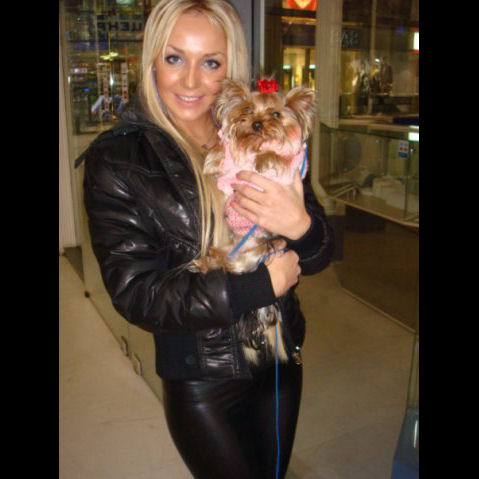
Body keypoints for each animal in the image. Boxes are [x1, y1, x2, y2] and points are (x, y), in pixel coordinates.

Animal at [190, 78, 316, 365]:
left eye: (276, 114)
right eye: (247, 110)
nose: (257, 124)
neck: (256, 144)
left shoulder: (291, 168)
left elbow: (277, 157)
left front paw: (262, 159)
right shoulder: (228, 170)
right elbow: (220, 159)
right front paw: (215, 150)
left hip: (259, 252)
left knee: (234, 267)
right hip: (235, 248)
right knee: (226, 264)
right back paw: (206, 261)